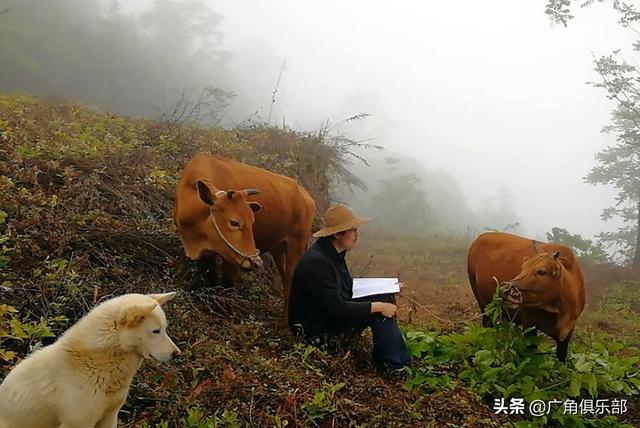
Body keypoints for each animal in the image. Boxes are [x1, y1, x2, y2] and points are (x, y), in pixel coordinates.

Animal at [174, 154, 316, 318]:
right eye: (234, 222)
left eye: (252, 221)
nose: (257, 263)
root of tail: (307, 195)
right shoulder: (206, 254)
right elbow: (212, 279)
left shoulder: (232, 257)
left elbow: (228, 285)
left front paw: (226, 314)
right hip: (279, 248)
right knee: (285, 278)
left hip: (297, 245)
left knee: (290, 280)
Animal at [464, 231, 584, 362]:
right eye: (523, 267)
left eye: (541, 272)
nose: (505, 290)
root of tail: (480, 237)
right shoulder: (529, 324)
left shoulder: (569, 331)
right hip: (480, 299)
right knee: (487, 322)